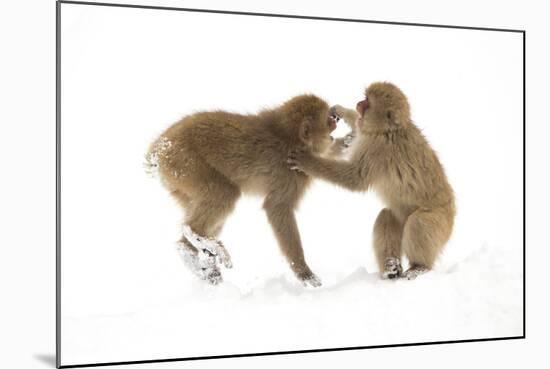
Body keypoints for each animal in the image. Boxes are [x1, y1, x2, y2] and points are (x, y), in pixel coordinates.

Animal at [147, 93, 356, 286]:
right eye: (328, 121)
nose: (335, 119)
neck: (289, 137)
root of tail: (159, 148)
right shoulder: (289, 174)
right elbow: (277, 207)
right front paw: (303, 272)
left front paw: (347, 142)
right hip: (184, 164)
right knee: (225, 193)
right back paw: (194, 234)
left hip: (178, 181)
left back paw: (191, 251)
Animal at [288, 82, 458, 278]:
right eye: (364, 98)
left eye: (367, 103)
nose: (358, 104)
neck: (388, 130)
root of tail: (452, 211)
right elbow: (358, 126)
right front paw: (341, 110)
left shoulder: (377, 149)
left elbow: (355, 178)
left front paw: (307, 162)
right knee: (387, 215)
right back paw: (391, 268)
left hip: (441, 221)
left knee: (419, 223)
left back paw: (419, 266)